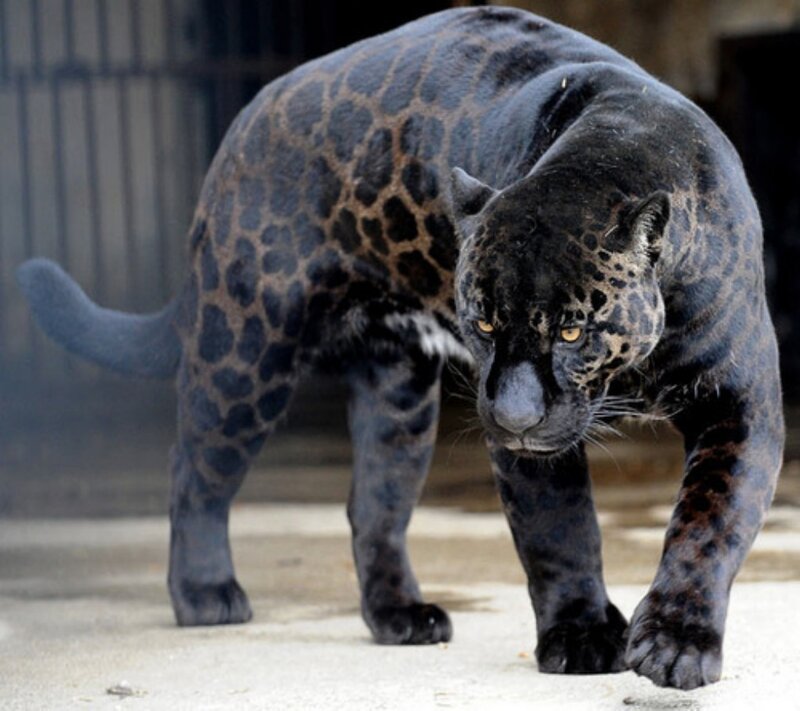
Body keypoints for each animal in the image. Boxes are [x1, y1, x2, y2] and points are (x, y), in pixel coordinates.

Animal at [17, 6, 783, 691]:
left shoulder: (739, 402)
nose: (511, 416)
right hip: (245, 350)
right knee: (195, 468)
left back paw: (399, 615)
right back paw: (206, 593)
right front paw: (583, 635)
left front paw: (677, 644)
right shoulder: (536, 449)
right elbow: (560, 530)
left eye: (571, 330)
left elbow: (708, 522)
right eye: (481, 323)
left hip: (399, 398)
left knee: (373, 505)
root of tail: (243, 123)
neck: (614, 147)